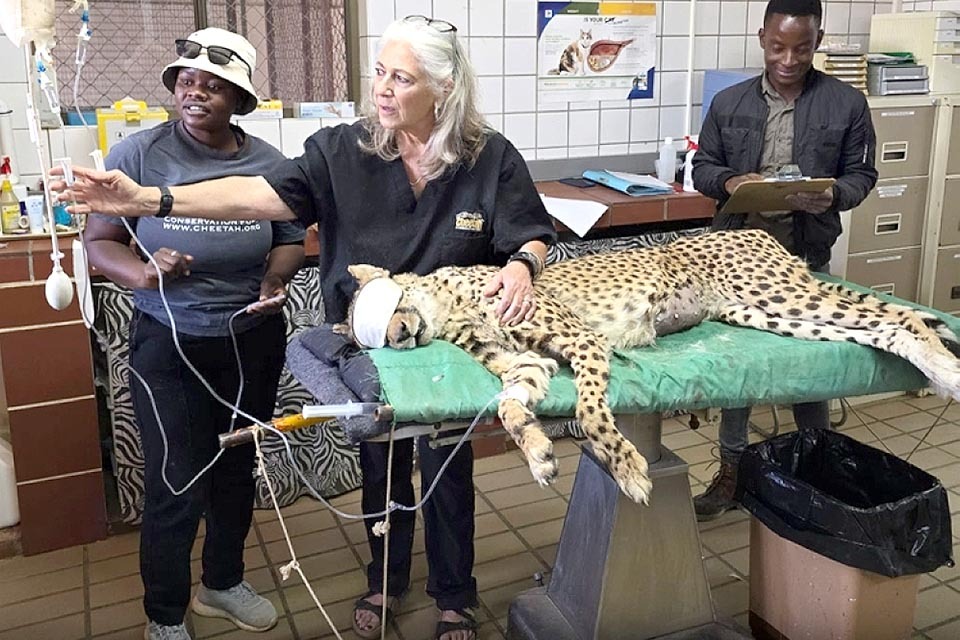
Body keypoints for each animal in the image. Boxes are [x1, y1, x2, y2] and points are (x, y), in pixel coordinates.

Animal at [336, 229, 960, 505]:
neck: (449, 311)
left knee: (902, 319)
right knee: (880, 328)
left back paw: (947, 370)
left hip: (779, 295)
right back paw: (940, 367)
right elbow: (510, 406)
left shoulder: (584, 341)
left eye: (387, 309)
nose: (399, 335)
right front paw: (538, 453)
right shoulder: (531, 364)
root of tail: (756, 229)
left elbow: (591, 413)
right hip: (766, 313)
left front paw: (629, 468)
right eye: (377, 340)